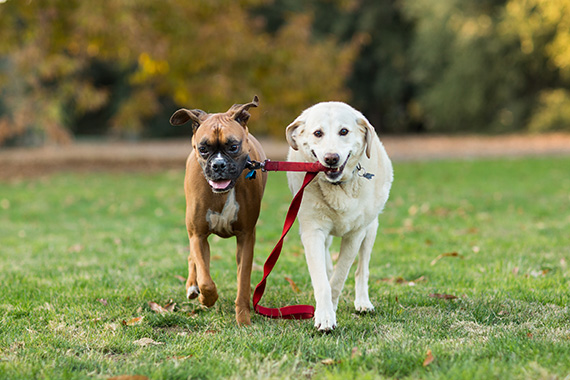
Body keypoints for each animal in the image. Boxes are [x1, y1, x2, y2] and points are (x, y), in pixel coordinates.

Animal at [169, 96, 266, 326]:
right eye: (203, 148)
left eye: (233, 146)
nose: (218, 165)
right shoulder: (198, 235)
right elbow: (205, 279)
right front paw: (207, 298)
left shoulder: (246, 238)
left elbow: (243, 282)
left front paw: (243, 319)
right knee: (192, 259)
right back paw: (192, 287)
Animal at [284, 102, 390, 332]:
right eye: (318, 133)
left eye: (344, 131)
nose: (331, 158)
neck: (337, 187)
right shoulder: (312, 231)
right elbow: (322, 281)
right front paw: (325, 315)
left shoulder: (355, 234)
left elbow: (339, 277)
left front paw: (329, 311)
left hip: (371, 229)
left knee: (362, 269)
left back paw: (363, 302)